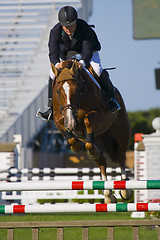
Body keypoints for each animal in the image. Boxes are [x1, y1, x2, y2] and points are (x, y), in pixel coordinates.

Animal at [51, 59, 132, 202]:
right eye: (58, 91)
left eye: (77, 89)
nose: (70, 124)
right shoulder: (58, 117)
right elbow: (67, 132)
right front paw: (79, 146)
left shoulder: (97, 114)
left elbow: (88, 120)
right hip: (99, 138)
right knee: (101, 162)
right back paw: (108, 194)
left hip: (121, 134)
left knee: (120, 156)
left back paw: (125, 189)